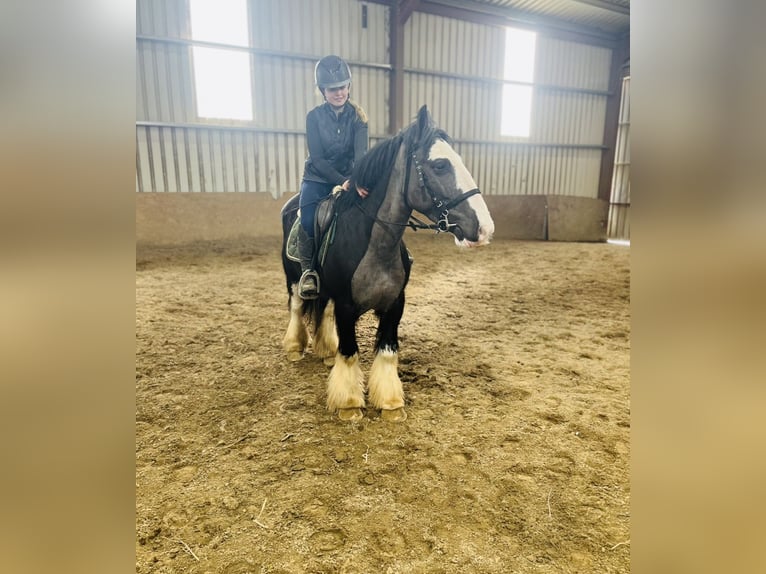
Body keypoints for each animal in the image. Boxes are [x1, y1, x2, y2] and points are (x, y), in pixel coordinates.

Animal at [280, 105, 494, 422]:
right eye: (440, 165)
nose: (484, 228)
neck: (377, 245)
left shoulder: (395, 304)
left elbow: (387, 351)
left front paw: (391, 404)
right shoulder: (346, 305)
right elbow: (350, 351)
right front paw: (349, 404)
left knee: (324, 314)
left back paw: (327, 352)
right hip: (293, 279)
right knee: (297, 306)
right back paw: (295, 347)